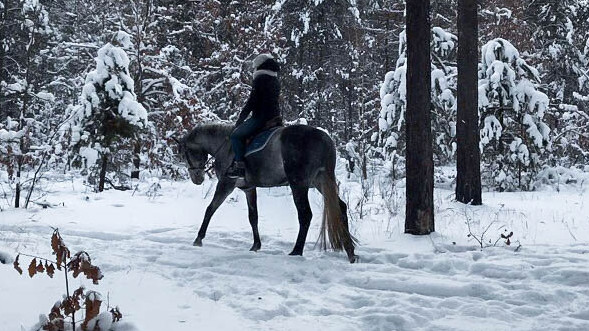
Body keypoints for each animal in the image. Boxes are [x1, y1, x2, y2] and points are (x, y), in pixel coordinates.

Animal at [177, 123, 356, 264]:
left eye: (185, 153)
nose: (197, 178)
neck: (225, 147)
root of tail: (324, 138)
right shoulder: (249, 188)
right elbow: (253, 216)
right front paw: (256, 245)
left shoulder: (226, 184)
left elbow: (210, 209)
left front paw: (198, 239)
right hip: (320, 182)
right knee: (341, 207)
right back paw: (350, 251)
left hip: (299, 185)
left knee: (305, 215)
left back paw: (297, 251)